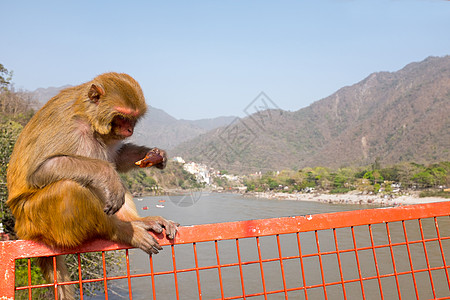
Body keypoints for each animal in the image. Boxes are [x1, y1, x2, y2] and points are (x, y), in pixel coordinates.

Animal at [6, 71, 179, 298]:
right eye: (122, 117)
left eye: (133, 118)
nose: (129, 129)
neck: (88, 116)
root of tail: (22, 229)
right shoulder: (71, 127)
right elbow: (41, 170)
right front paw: (107, 173)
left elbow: (116, 158)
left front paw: (155, 155)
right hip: (33, 219)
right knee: (69, 188)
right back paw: (121, 229)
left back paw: (137, 221)